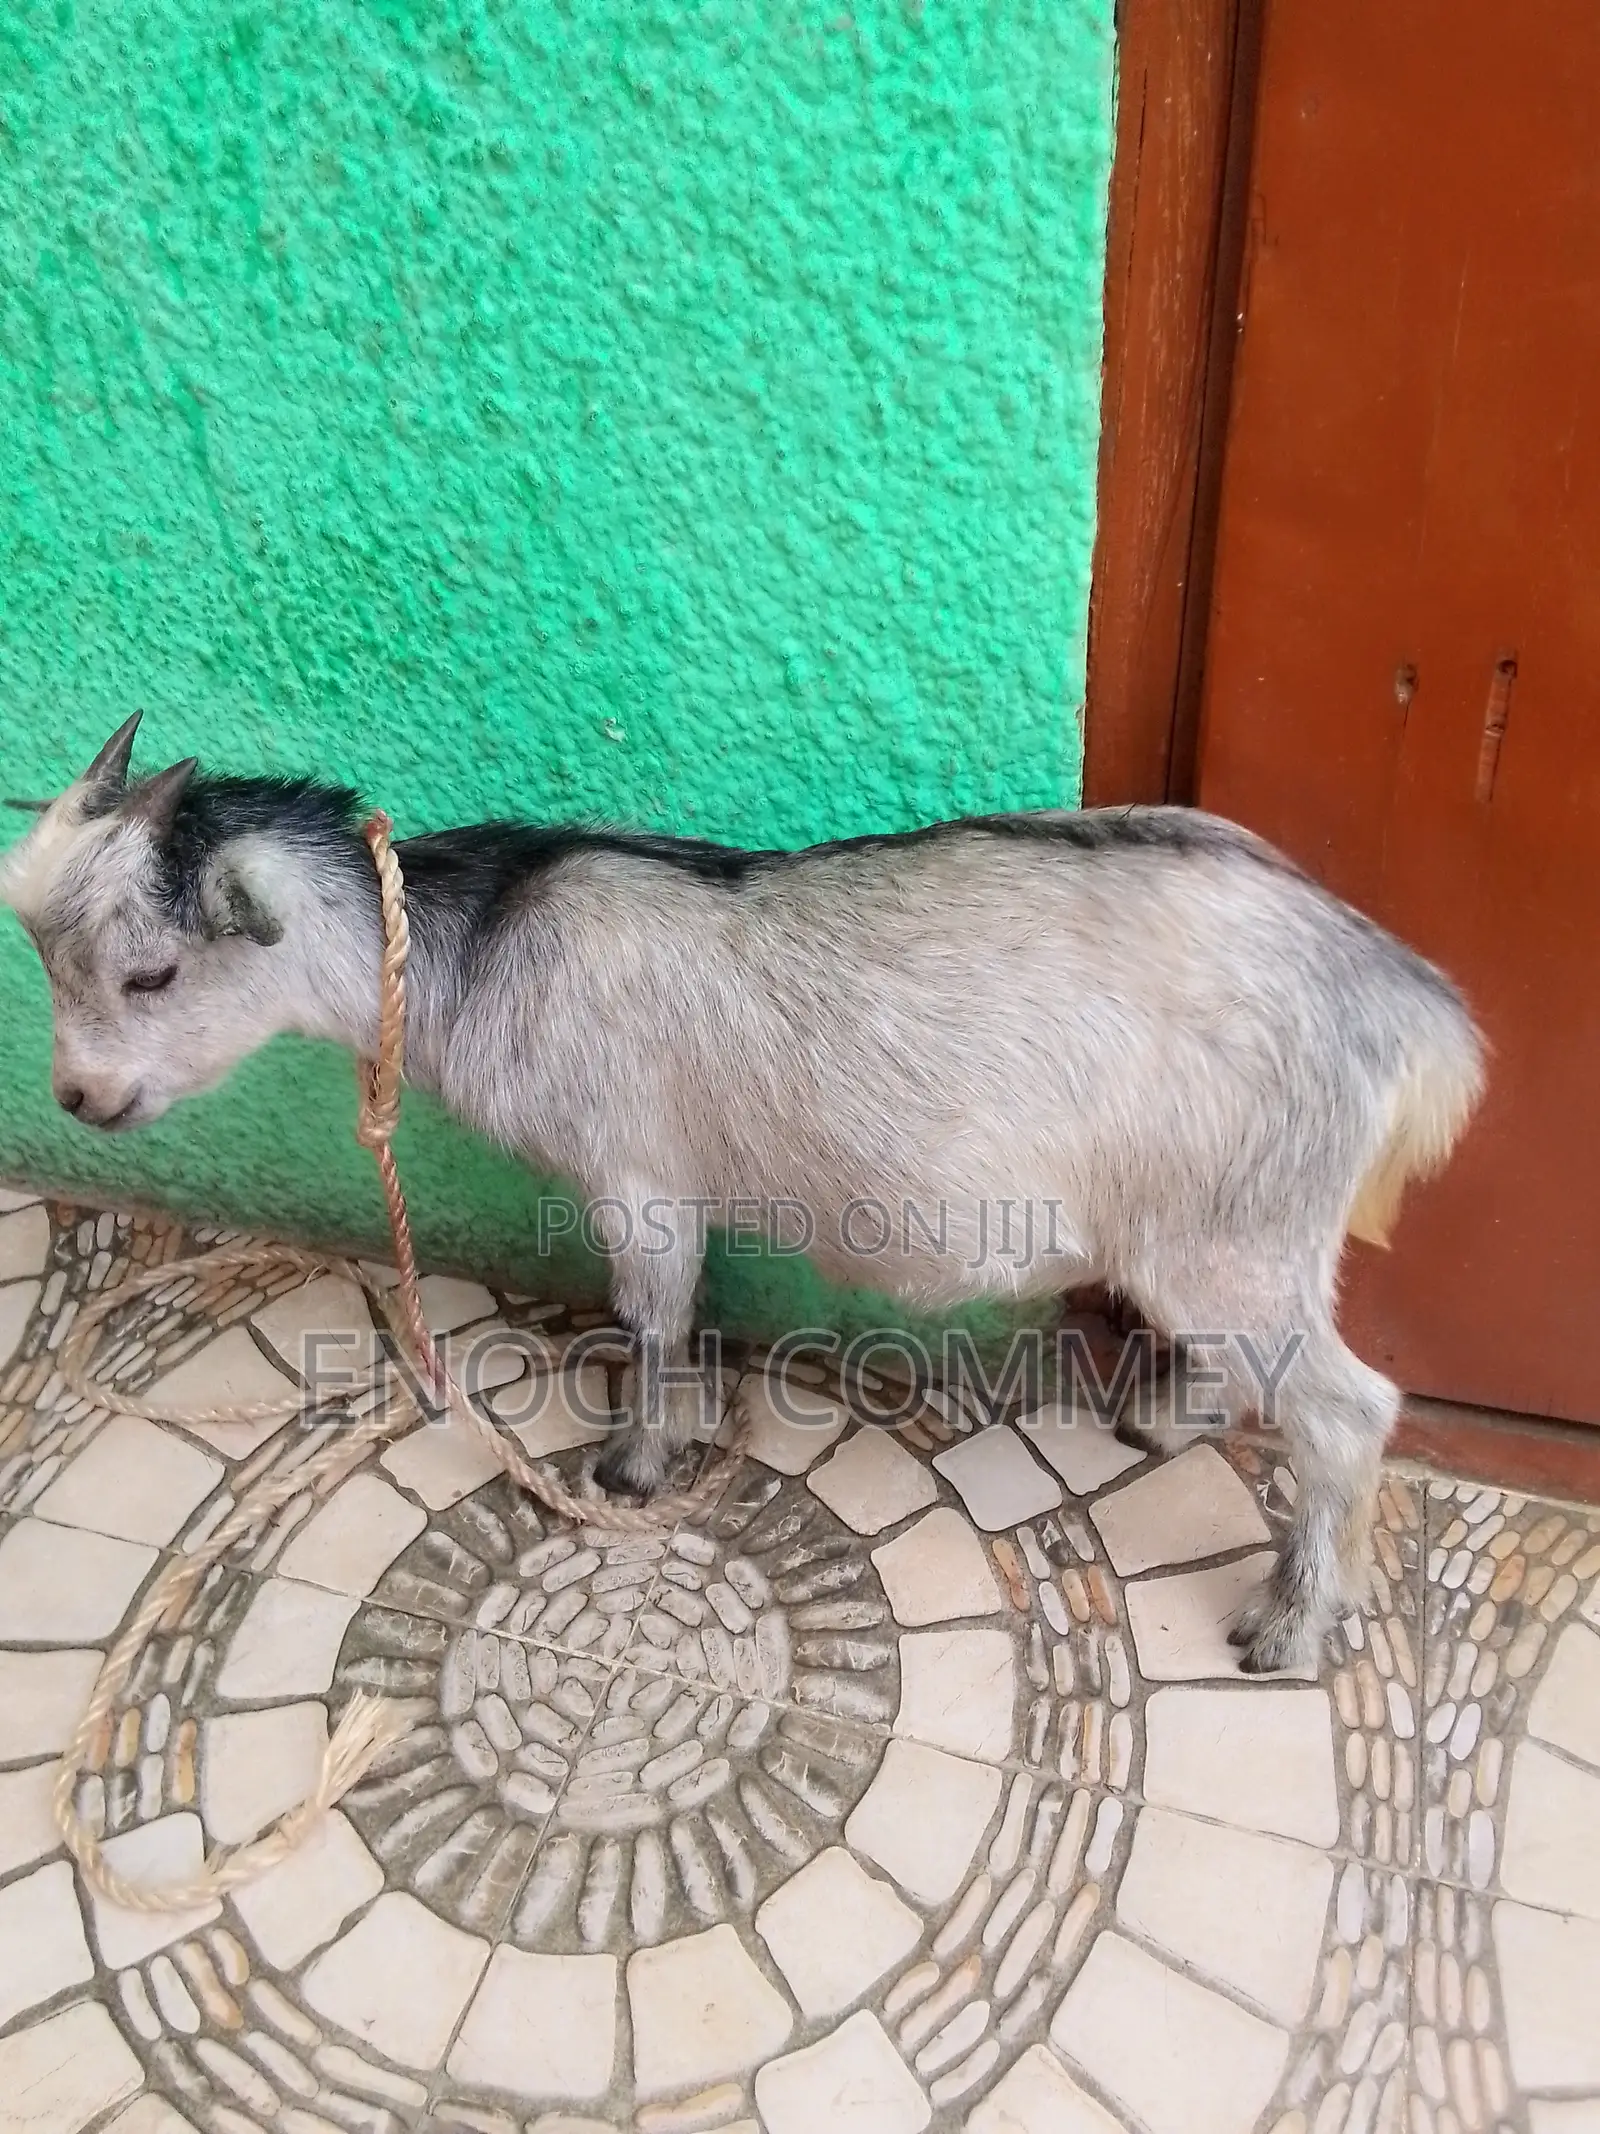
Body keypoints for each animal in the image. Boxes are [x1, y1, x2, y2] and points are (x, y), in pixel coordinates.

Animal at [2, 716, 1484, 1669]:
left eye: (151, 974)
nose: (77, 1099)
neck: (485, 944)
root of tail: (1404, 1006)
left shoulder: (635, 1176)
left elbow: (652, 1314)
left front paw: (633, 1464)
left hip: (1225, 1222)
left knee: (1350, 1410)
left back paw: (1290, 1622)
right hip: (1247, 1229)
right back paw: (1173, 1419)